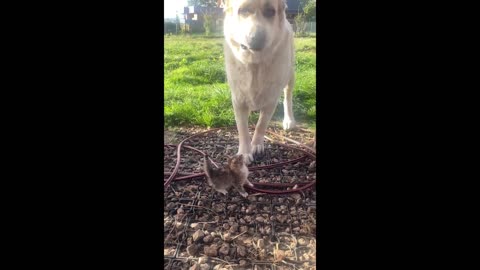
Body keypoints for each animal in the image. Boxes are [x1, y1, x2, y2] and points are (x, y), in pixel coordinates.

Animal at [222, 0, 296, 165]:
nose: (256, 38)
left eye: (270, 12)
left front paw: (256, 144)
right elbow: (242, 128)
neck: (254, 62)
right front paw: (244, 152)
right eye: (242, 11)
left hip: (290, 74)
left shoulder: (271, 100)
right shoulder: (238, 99)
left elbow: (261, 124)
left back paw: (289, 120)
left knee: (288, 97)